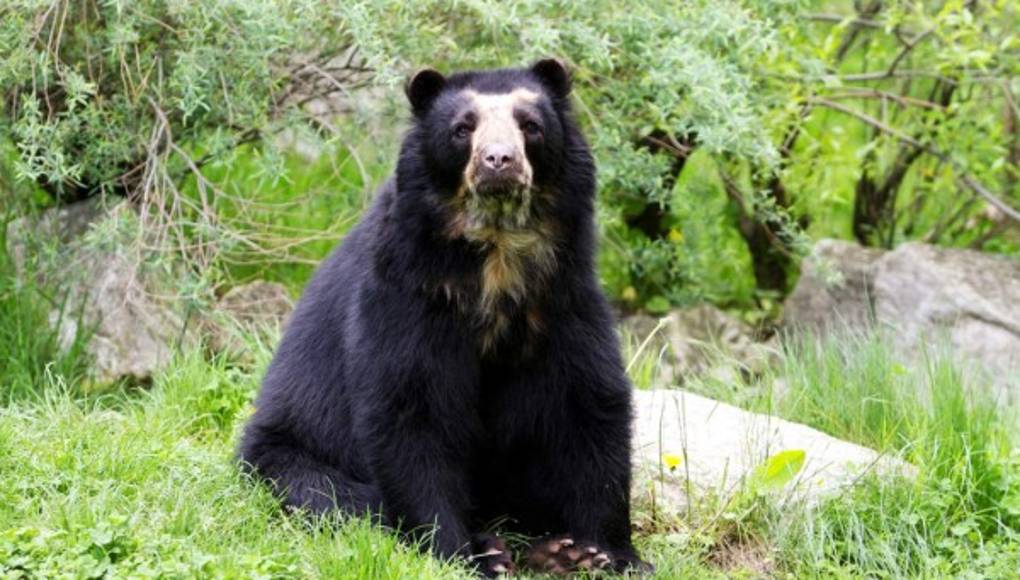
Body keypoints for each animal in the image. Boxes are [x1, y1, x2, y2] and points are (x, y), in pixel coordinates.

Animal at [239, 59, 651, 576]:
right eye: (462, 129)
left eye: (530, 126)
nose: (499, 161)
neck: (496, 255)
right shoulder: (407, 295)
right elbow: (412, 409)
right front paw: (462, 553)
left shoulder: (562, 296)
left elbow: (587, 404)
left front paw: (605, 552)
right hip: (287, 455)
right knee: (337, 497)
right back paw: (495, 546)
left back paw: (551, 550)